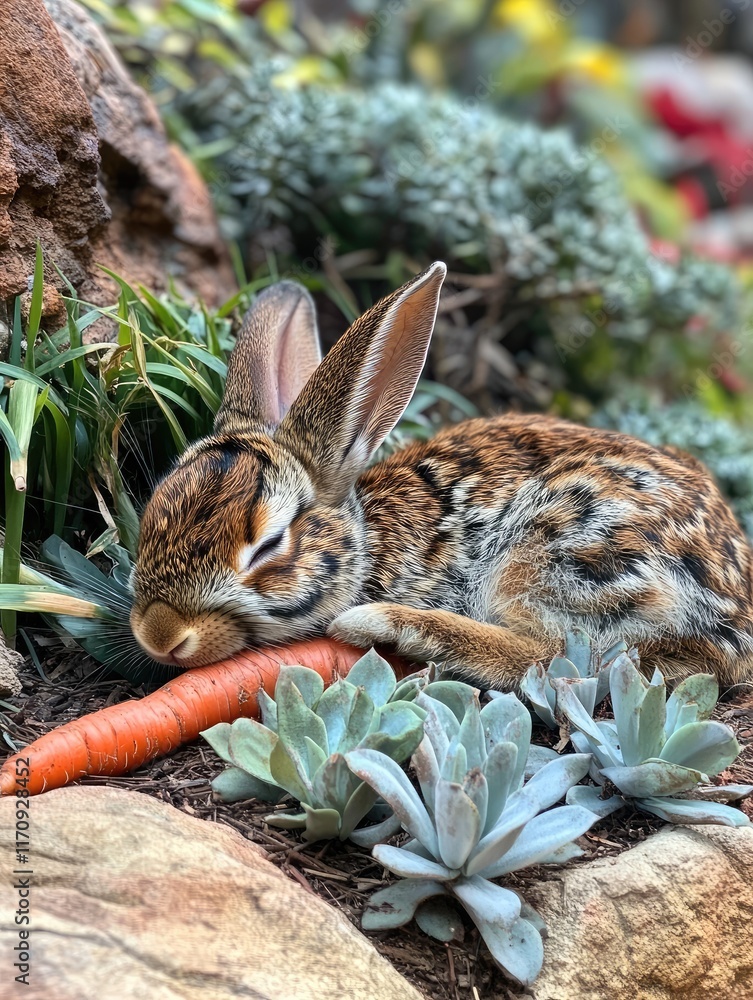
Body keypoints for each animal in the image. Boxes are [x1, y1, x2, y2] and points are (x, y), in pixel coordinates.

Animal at [130, 262, 753, 690]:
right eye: (151, 513)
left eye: (269, 545)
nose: (160, 635)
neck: (368, 545)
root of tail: (736, 611)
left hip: (559, 541)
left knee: (558, 656)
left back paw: (385, 623)